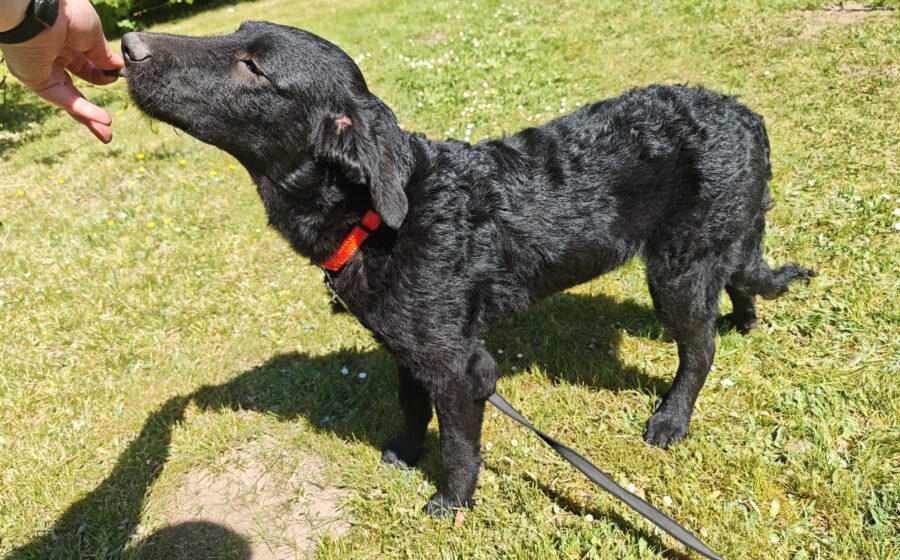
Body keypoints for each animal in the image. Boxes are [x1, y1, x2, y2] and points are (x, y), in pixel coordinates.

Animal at [122, 22, 815, 515]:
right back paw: (744, 324)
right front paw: (403, 454)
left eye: (253, 65)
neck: (376, 218)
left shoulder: (461, 367)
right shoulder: (406, 350)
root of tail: (748, 119)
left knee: (699, 350)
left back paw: (671, 420)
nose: (127, 44)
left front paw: (451, 504)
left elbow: (458, 444)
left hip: (675, 270)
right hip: (718, 245)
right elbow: (410, 407)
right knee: (739, 286)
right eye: (235, 34)